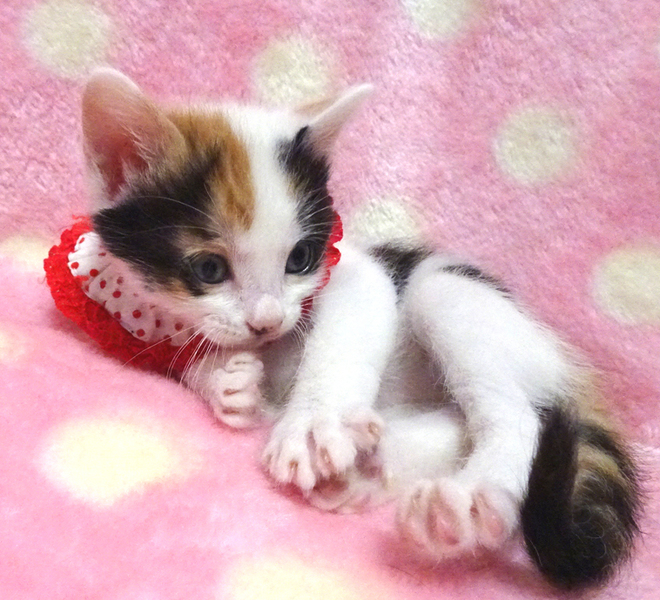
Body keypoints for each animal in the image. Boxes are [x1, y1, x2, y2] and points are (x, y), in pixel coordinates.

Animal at [69, 68, 639, 590]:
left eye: (299, 259)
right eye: (209, 268)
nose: (267, 320)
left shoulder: (358, 273)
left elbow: (344, 331)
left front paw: (313, 424)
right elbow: (194, 355)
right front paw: (226, 380)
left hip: (451, 296)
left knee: (520, 414)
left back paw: (464, 499)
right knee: (456, 425)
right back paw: (373, 472)